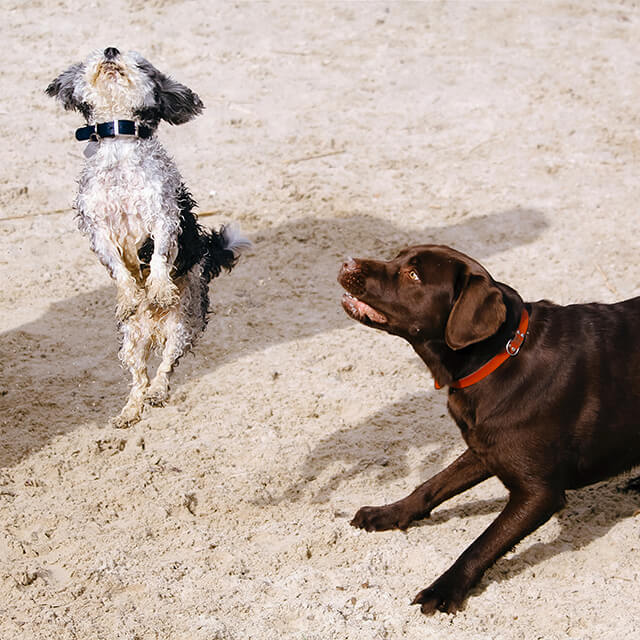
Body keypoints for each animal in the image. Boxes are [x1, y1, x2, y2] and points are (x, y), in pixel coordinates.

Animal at [47, 47, 250, 428]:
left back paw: (157, 391)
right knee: (138, 379)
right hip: (131, 342)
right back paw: (129, 410)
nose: (111, 50)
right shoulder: (98, 228)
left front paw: (158, 289)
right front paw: (130, 296)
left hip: (182, 326)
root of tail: (155, 329)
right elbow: (119, 267)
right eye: (92, 57)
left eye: (140, 64)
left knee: (165, 368)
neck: (119, 149)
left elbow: (157, 256)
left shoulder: (163, 217)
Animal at [338, 245, 636, 616]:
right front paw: (389, 513)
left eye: (414, 275)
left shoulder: (539, 493)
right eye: (397, 256)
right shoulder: (483, 448)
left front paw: (444, 589)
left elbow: (482, 543)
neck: (498, 356)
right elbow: (431, 485)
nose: (346, 262)